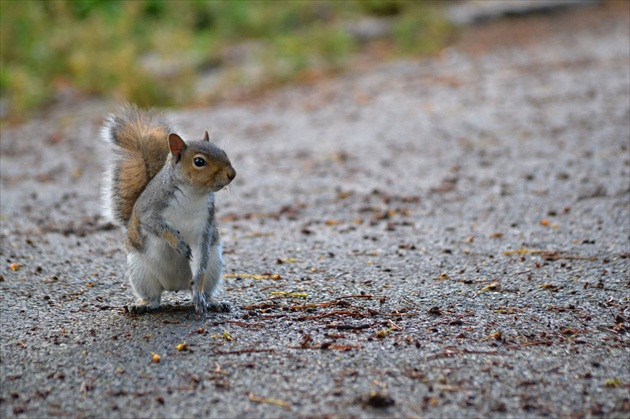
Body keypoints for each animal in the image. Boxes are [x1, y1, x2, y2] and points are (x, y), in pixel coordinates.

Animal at [101, 104, 237, 316]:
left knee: (202, 286)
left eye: (223, 152)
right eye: (199, 162)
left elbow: (199, 262)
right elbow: (158, 227)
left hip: (214, 266)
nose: (232, 174)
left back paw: (210, 301)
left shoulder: (203, 229)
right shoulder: (149, 211)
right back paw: (142, 305)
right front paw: (178, 242)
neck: (192, 194)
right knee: (154, 298)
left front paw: (199, 297)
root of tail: (175, 286)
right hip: (141, 272)